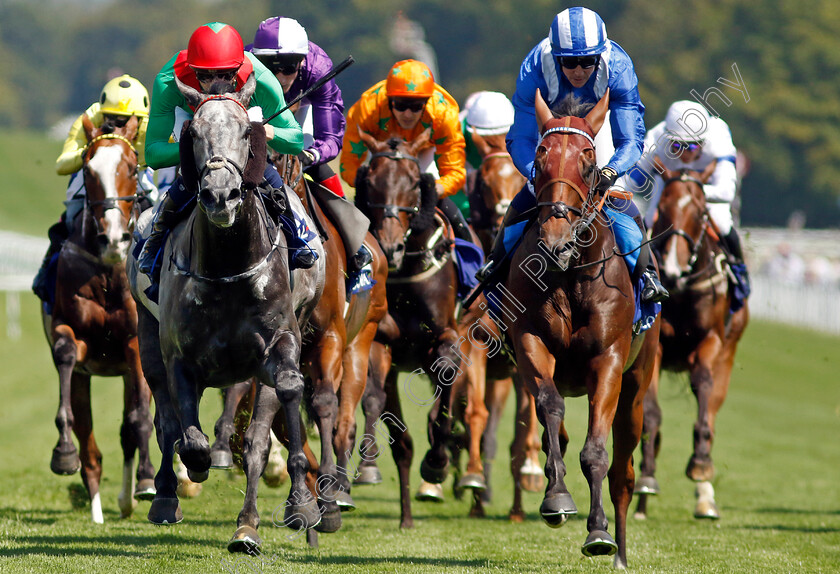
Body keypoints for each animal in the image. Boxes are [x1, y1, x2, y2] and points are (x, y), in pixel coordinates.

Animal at [42, 115, 156, 524]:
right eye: (88, 170)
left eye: (132, 167)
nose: (113, 239)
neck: (108, 271)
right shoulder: (73, 336)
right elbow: (65, 357)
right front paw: (63, 453)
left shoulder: (135, 344)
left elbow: (139, 419)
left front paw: (146, 480)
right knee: (92, 444)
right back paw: (100, 507)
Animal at [128, 74, 324, 552]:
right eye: (193, 134)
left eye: (246, 132)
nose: (220, 195)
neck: (229, 267)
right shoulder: (179, 357)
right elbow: (186, 435)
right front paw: (193, 469)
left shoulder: (279, 342)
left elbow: (270, 419)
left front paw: (288, 509)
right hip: (147, 335)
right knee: (167, 421)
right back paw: (166, 496)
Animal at [352, 132, 488, 532]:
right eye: (370, 181)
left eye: (414, 182)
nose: (390, 246)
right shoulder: (382, 342)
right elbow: (374, 400)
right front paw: (368, 464)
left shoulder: (448, 339)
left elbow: (444, 399)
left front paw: (438, 463)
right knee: (403, 442)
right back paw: (407, 518)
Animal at [498, 91, 664, 572]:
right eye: (540, 156)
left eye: (589, 162)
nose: (555, 238)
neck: (569, 273)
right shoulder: (531, 344)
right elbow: (551, 410)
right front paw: (556, 497)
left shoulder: (608, 360)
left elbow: (596, 452)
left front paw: (598, 532)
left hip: (637, 385)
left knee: (624, 471)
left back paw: (621, 553)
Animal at [632, 166, 752, 520]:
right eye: (663, 209)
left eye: (700, 213)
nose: (671, 268)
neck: (683, 288)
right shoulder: (656, 347)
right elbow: (652, 415)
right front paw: (646, 480)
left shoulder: (711, 341)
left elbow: (702, 386)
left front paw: (699, 463)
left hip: (729, 353)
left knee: (711, 410)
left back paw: (706, 498)